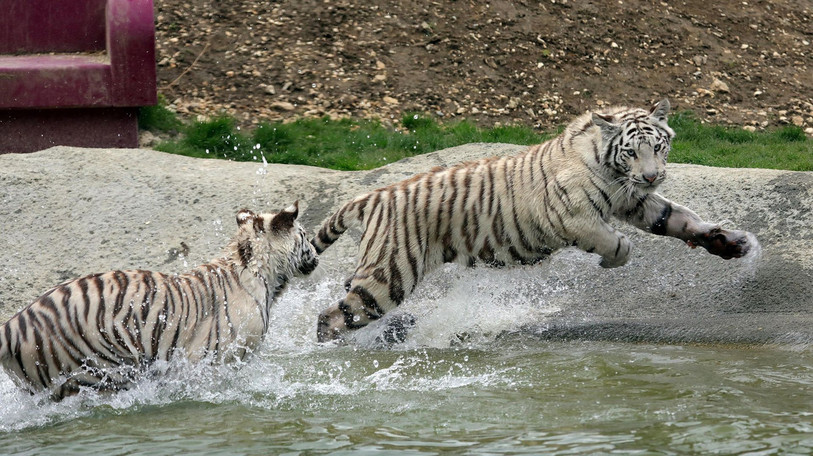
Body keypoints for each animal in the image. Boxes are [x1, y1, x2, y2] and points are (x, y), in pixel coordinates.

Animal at [0, 202, 318, 400]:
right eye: (304, 234)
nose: (316, 254)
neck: (256, 270)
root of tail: (14, 324)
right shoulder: (211, 360)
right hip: (103, 367)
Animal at [312, 99, 755, 342]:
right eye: (632, 151)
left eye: (659, 146)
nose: (652, 176)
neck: (613, 170)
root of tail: (374, 194)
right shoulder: (575, 217)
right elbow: (616, 243)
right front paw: (612, 259)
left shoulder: (636, 202)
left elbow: (680, 219)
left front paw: (732, 244)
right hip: (391, 274)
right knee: (331, 317)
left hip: (378, 267)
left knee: (345, 293)